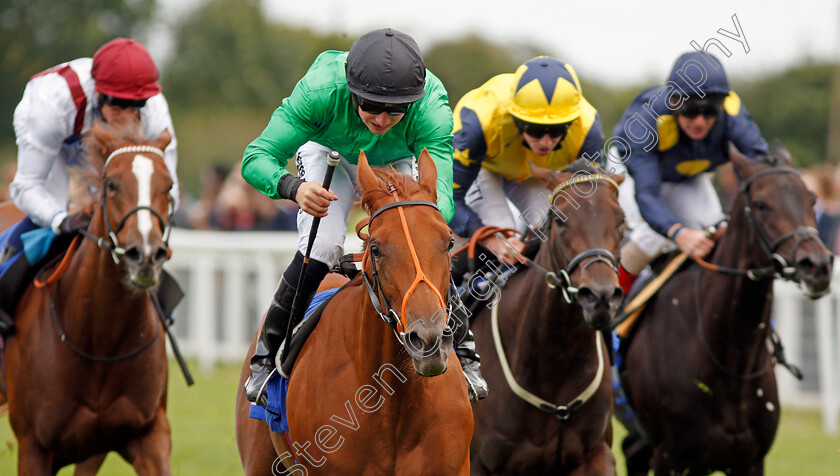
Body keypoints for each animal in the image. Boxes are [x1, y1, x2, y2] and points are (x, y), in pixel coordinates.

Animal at [0, 121, 175, 474]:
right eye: (111, 184)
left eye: (169, 186)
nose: (145, 254)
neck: (98, 340)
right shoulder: (33, 447)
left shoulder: (149, 434)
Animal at [470, 161, 628, 476]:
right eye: (560, 218)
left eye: (621, 220)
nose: (600, 296)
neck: (553, 363)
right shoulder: (477, 463)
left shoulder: (596, 453)